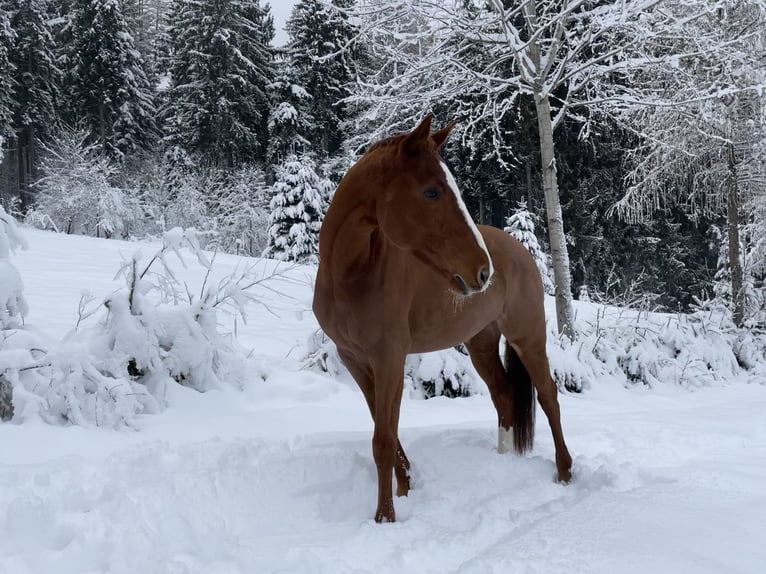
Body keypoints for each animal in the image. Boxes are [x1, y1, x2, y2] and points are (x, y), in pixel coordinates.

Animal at [312, 115, 572, 523]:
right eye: (432, 192)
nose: (483, 271)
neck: (351, 274)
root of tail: (520, 251)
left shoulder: (389, 358)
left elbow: (383, 438)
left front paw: (384, 517)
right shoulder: (354, 359)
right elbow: (384, 430)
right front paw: (406, 485)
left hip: (527, 338)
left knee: (548, 396)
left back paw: (564, 472)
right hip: (481, 343)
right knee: (503, 396)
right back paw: (503, 463)